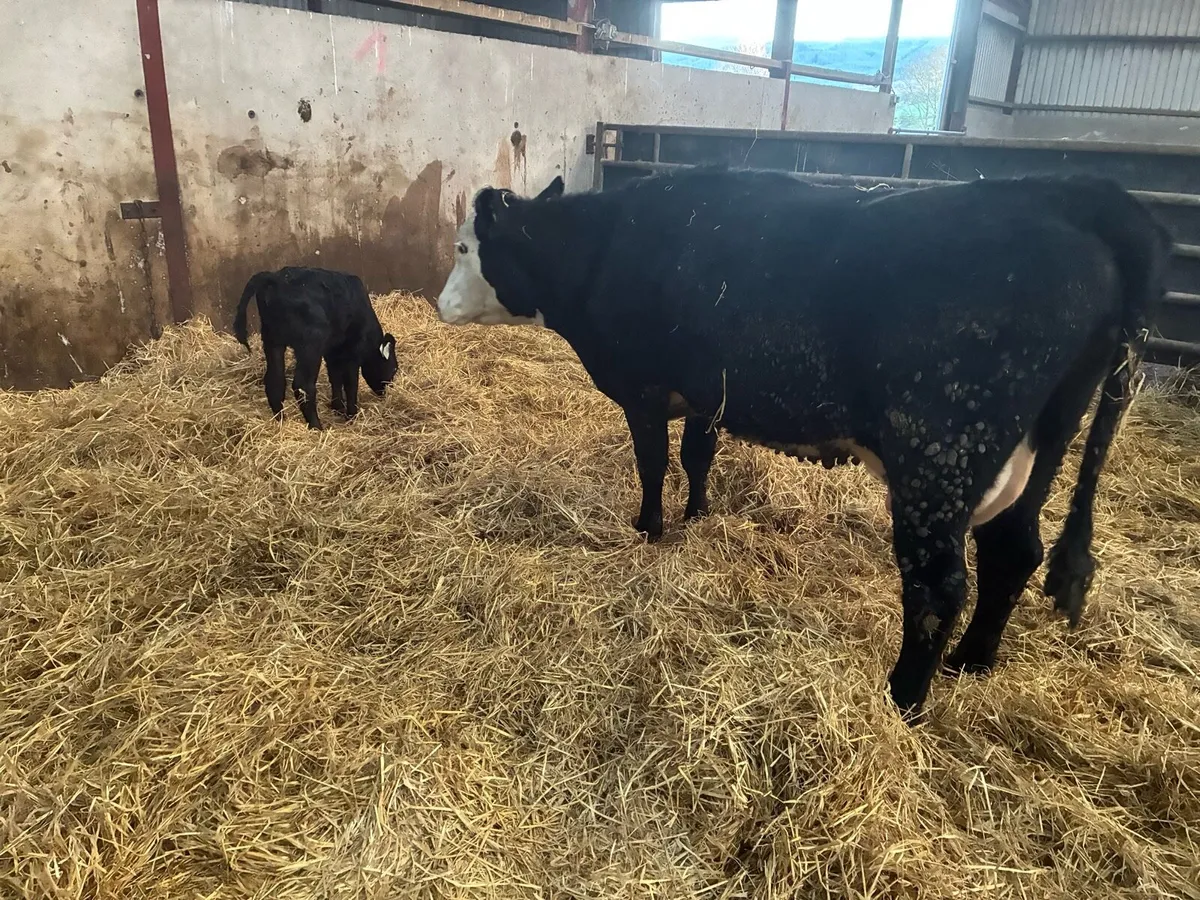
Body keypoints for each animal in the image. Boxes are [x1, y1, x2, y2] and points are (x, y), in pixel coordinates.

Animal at [234, 266, 398, 430]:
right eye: (394, 368)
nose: (385, 393)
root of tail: (276, 278)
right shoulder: (352, 354)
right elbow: (351, 384)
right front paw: (352, 415)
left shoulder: (332, 352)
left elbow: (335, 378)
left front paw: (338, 408)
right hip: (310, 346)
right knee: (303, 386)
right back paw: (316, 426)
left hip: (273, 341)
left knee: (275, 380)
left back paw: (281, 421)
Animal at [433, 166, 1169, 718]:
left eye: (466, 248)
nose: (440, 306)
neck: (603, 249)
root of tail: (1070, 194)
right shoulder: (707, 392)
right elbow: (697, 457)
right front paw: (697, 518)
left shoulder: (643, 390)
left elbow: (652, 464)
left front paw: (648, 530)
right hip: (1037, 451)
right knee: (1013, 552)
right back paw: (973, 662)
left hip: (940, 455)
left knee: (938, 587)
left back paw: (904, 699)